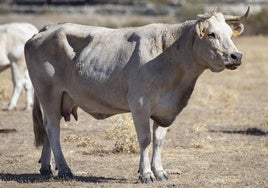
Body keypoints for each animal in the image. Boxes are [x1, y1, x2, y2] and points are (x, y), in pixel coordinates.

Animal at [25, 8, 249, 183]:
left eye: (230, 34)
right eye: (211, 34)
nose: (236, 56)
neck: (170, 55)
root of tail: (49, 27)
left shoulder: (165, 109)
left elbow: (158, 139)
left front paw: (159, 171)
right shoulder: (140, 104)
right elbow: (145, 139)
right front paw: (146, 173)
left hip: (58, 97)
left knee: (48, 130)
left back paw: (46, 167)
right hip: (48, 92)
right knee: (53, 128)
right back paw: (64, 169)